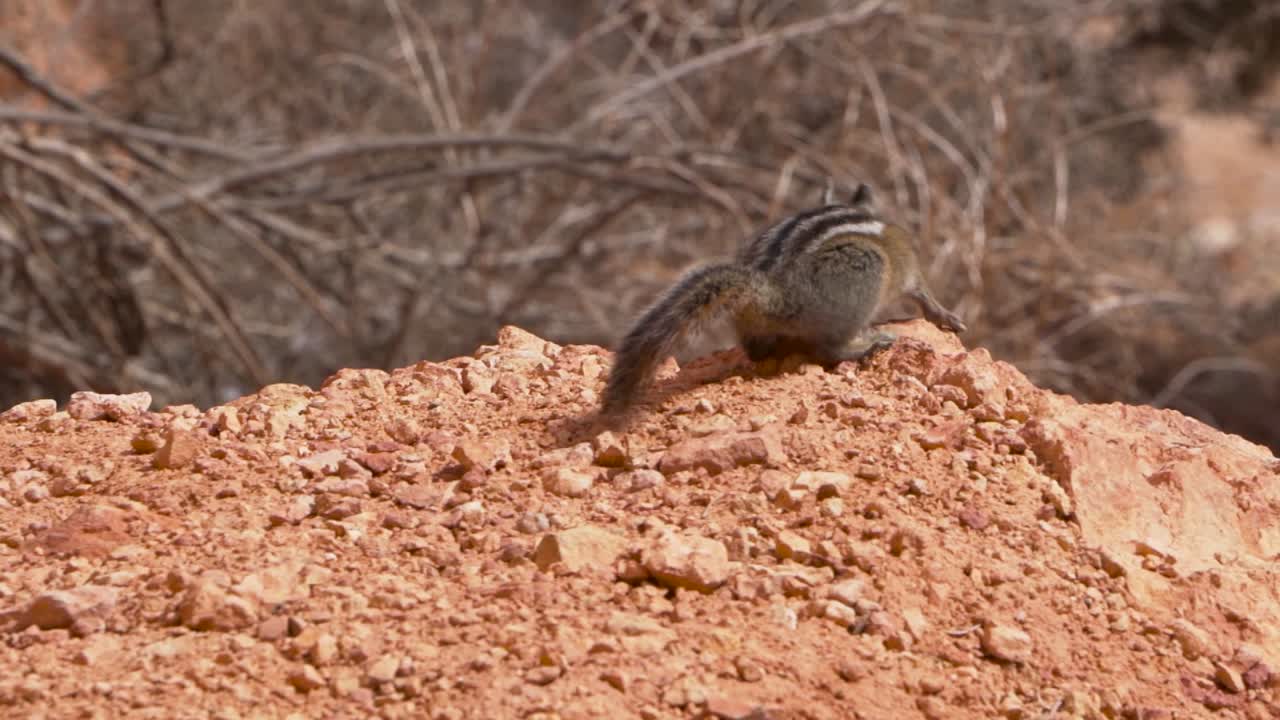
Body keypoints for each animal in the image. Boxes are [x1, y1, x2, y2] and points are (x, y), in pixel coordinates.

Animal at [600, 182, 967, 418]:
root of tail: (774, 296)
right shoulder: (908, 270)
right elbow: (922, 292)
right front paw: (946, 316)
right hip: (864, 268)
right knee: (829, 348)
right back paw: (868, 344)